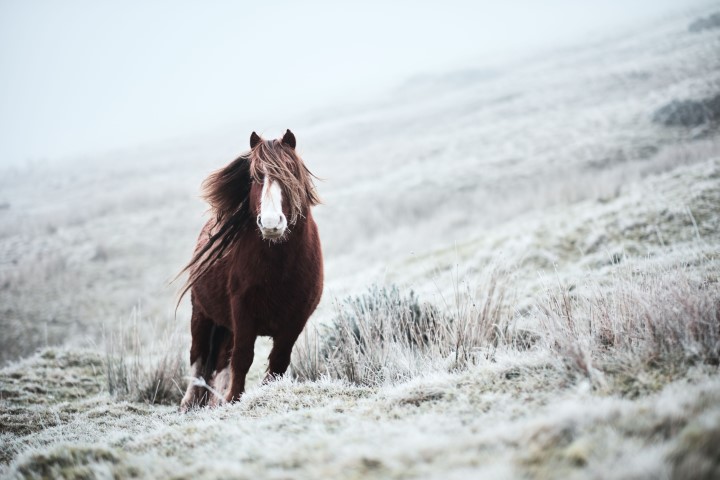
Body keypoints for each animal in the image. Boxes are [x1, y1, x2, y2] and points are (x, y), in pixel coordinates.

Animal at [179, 129, 324, 410]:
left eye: (290, 171)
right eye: (256, 176)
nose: (270, 223)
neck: (280, 268)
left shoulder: (296, 320)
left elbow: (278, 362)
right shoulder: (243, 313)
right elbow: (243, 358)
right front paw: (234, 399)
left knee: (220, 362)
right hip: (202, 315)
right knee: (198, 357)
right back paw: (189, 403)